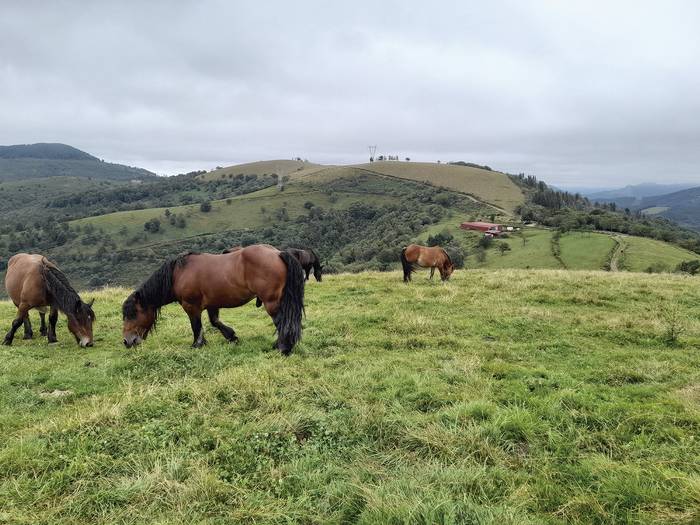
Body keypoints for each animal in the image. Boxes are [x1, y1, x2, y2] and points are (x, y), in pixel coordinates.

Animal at [119, 245, 304, 352]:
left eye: (133, 314)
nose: (127, 341)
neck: (178, 274)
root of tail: (278, 253)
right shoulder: (212, 304)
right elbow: (215, 322)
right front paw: (232, 337)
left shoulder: (191, 306)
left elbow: (196, 326)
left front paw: (197, 345)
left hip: (271, 302)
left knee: (281, 322)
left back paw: (282, 347)